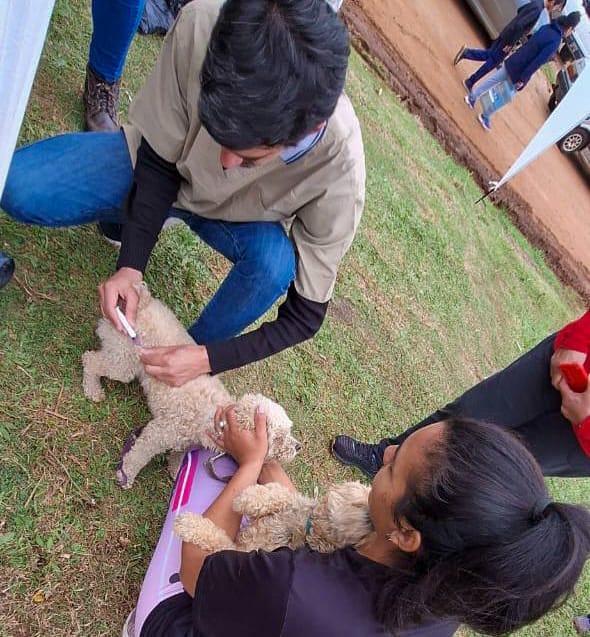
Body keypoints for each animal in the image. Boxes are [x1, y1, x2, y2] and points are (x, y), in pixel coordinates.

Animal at [82, 283, 300, 488]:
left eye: (289, 431)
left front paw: (176, 470)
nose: (298, 447)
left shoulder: (183, 442)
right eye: (278, 438)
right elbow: (138, 456)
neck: (215, 416)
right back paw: (93, 390)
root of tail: (142, 302)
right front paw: (126, 474)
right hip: (124, 361)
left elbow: (178, 455)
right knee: (90, 360)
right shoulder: (159, 433)